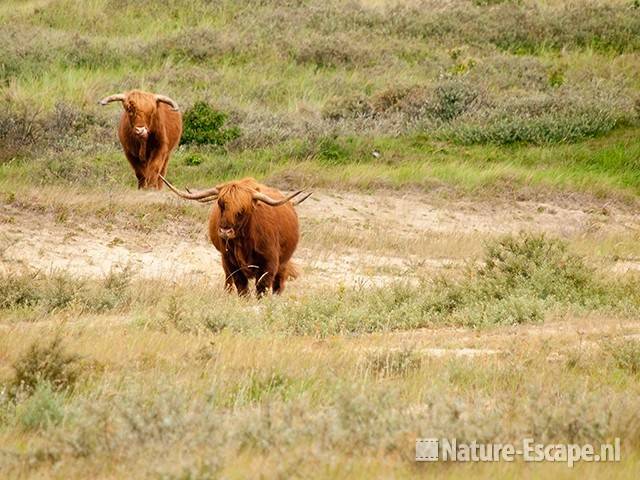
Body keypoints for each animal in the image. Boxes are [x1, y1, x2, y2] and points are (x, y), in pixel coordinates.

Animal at [160, 175, 310, 296]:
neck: (244, 241)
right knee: (228, 279)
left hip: (284, 260)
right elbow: (241, 285)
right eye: (220, 204)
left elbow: (262, 287)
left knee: (279, 282)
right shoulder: (230, 260)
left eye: (241, 210)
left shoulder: (269, 262)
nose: (225, 231)